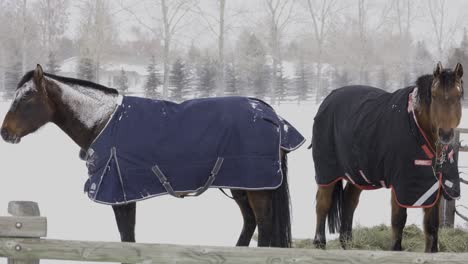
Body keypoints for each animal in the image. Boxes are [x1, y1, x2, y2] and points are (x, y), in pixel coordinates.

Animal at [0, 64, 304, 248]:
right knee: (250, 223)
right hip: (241, 185)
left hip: (258, 188)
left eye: (26, 98)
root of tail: (272, 115)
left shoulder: (120, 195)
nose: (5, 133)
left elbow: (127, 238)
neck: (103, 121)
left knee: (263, 226)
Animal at [310, 61, 464, 252]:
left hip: (358, 174)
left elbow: (431, 227)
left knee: (349, 201)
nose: (445, 135)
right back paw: (320, 243)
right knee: (322, 204)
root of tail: (329, 98)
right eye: (434, 96)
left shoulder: (433, 187)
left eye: (459, 95)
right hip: (327, 171)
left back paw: (347, 244)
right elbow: (398, 222)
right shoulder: (400, 186)